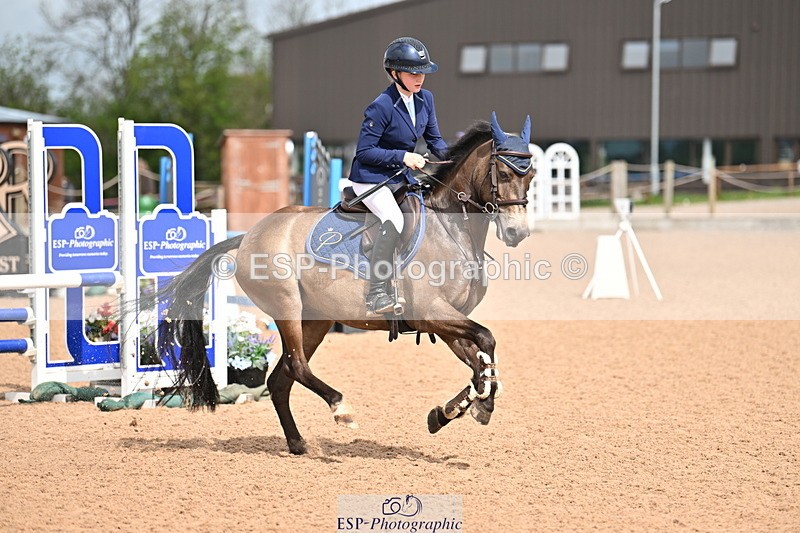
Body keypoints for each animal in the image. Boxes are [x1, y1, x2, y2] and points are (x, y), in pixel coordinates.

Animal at [157, 112, 535, 455]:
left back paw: (298, 444)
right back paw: (341, 409)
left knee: (280, 380)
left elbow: (479, 360)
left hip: (316, 320)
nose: (516, 233)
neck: (451, 228)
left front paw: (455, 410)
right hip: (287, 307)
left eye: (530, 176)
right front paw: (474, 405)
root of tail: (249, 235)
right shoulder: (432, 311)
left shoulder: (443, 321)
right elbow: (486, 340)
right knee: (297, 366)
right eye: (503, 173)